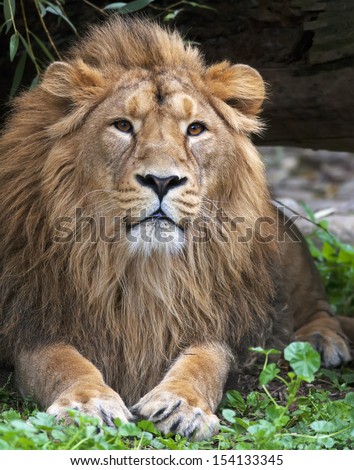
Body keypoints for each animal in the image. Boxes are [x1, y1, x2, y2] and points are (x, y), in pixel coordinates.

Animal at [0, 16, 352, 438]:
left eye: (195, 129)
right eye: (122, 125)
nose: (162, 180)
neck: (141, 266)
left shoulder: (211, 321)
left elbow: (203, 363)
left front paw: (182, 406)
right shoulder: (32, 324)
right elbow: (62, 363)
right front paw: (89, 405)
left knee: (317, 302)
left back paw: (320, 339)